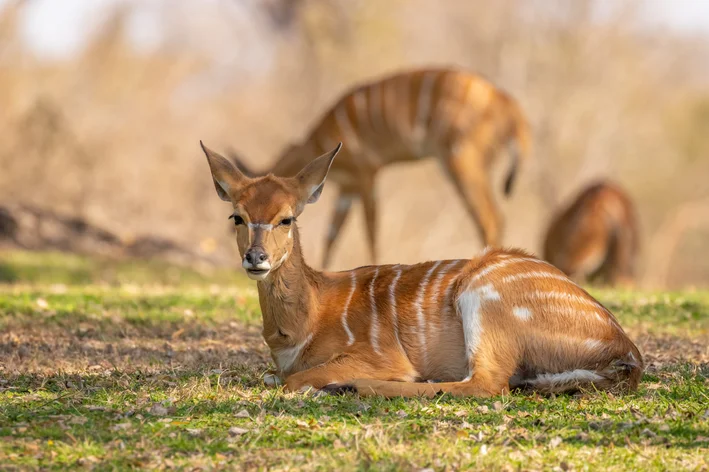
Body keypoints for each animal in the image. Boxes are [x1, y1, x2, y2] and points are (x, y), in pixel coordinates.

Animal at [201, 141, 640, 398]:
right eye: (237, 216)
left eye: (286, 218)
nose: (256, 257)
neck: (306, 322)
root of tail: (624, 351)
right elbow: (273, 376)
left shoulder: (380, 355)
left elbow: (290, 380)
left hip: (482, 298)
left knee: (486, 384)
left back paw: (352, 386)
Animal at [228, 66, 532, 268]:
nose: (250, 252)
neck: (318, 141)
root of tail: (511, 108)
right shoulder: (347, 188)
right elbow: (332, 233)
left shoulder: (367, 173)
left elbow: (371, 227)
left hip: (461, 161)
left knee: (490, 216)